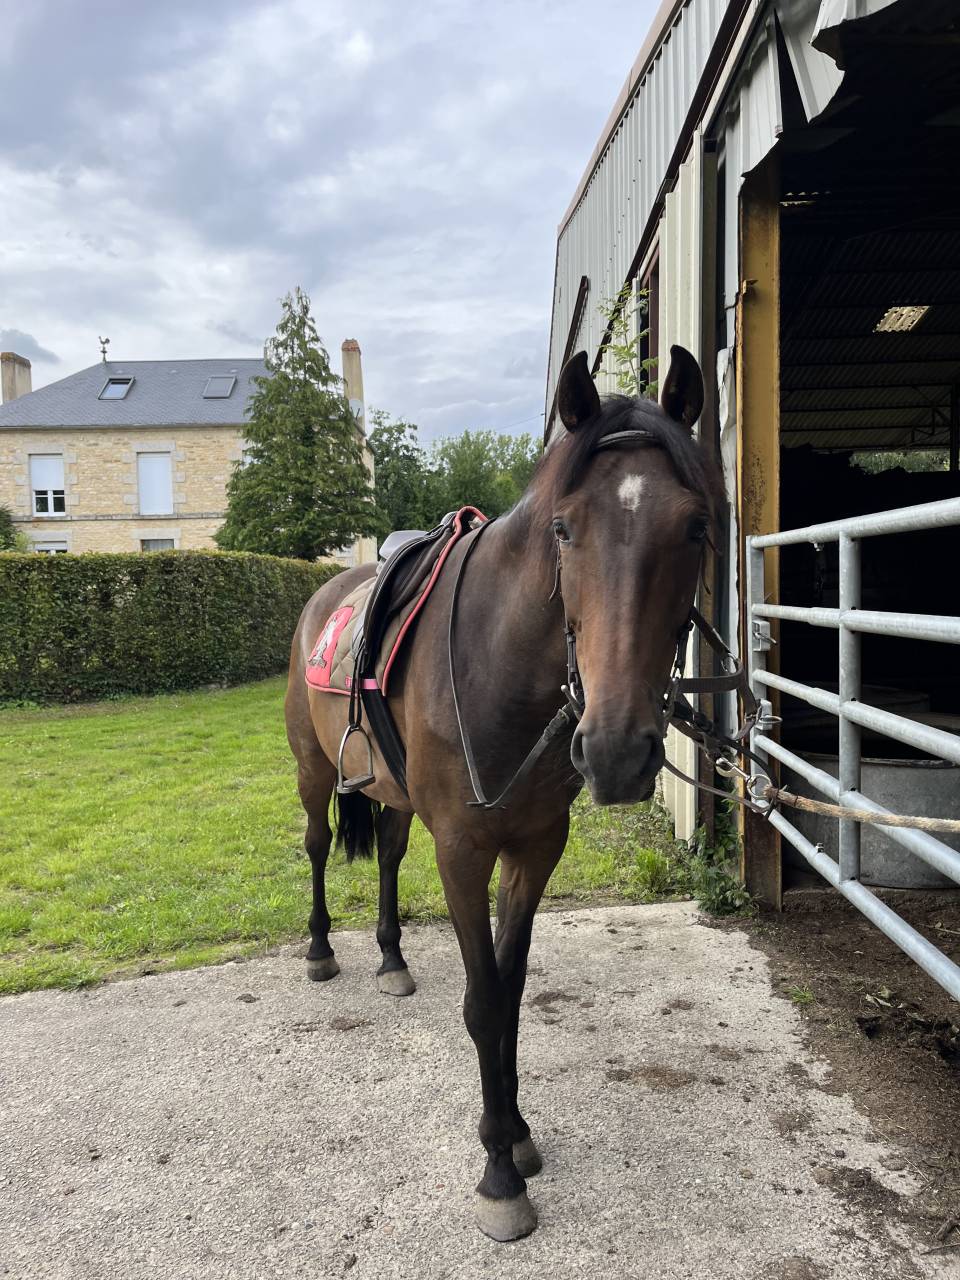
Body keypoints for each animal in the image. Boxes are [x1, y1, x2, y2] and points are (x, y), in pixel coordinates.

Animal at [284, 346, 721, 1241]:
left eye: (695, 526)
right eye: (563, 527)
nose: (618, 750)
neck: (502, 668)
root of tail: (325, 593)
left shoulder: (535, 845)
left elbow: (514, 990)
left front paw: (517, 1133)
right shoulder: (464, 850)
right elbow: (485, 1001)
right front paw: (498, 1173)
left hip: (396, 795)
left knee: (387, 854)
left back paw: (391, 957)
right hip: (314, 771)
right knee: (315, 847)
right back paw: (320, 950)